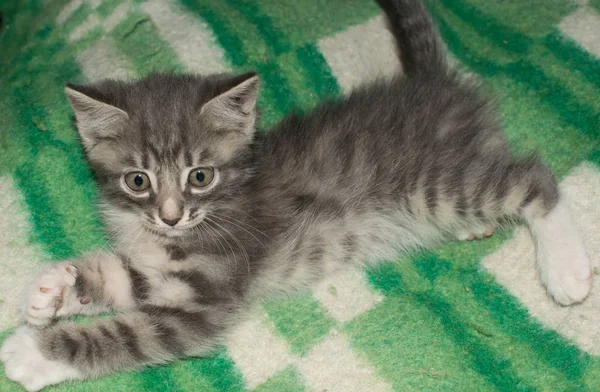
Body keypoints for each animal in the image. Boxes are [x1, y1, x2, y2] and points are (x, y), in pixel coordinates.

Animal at [1, 0, 592, 390]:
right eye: (138, 180)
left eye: (200, 176)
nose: (171, 217)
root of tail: (437, 84)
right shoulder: (159, 268)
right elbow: (120, 278)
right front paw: (53, 289)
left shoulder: (208, 295)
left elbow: (125, 335)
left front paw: (33, 352)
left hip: (434, 184)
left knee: (532, 179)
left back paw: (565, 267)